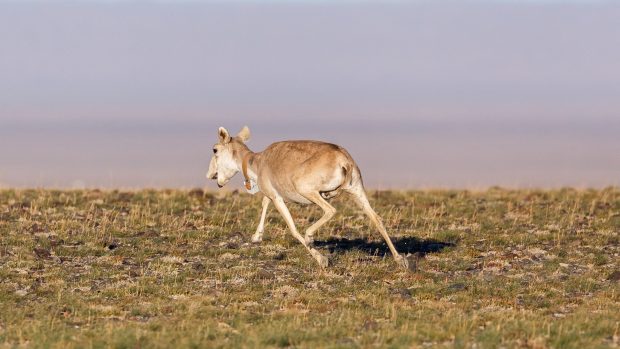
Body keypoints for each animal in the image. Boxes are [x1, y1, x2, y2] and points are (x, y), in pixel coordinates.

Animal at [206, 125, 410, 270]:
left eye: (215, 149)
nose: (211, 176)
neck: (257, 161)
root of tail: (343, 160)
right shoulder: (273, 195)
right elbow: (264, 203)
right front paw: (256, 237)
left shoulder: (277, 198)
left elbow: (292, 228)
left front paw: (321, 259)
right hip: (357, 190)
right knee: (376, 218)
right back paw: (400, 260)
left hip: (310, 191)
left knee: (330, 210)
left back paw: (311, 237)